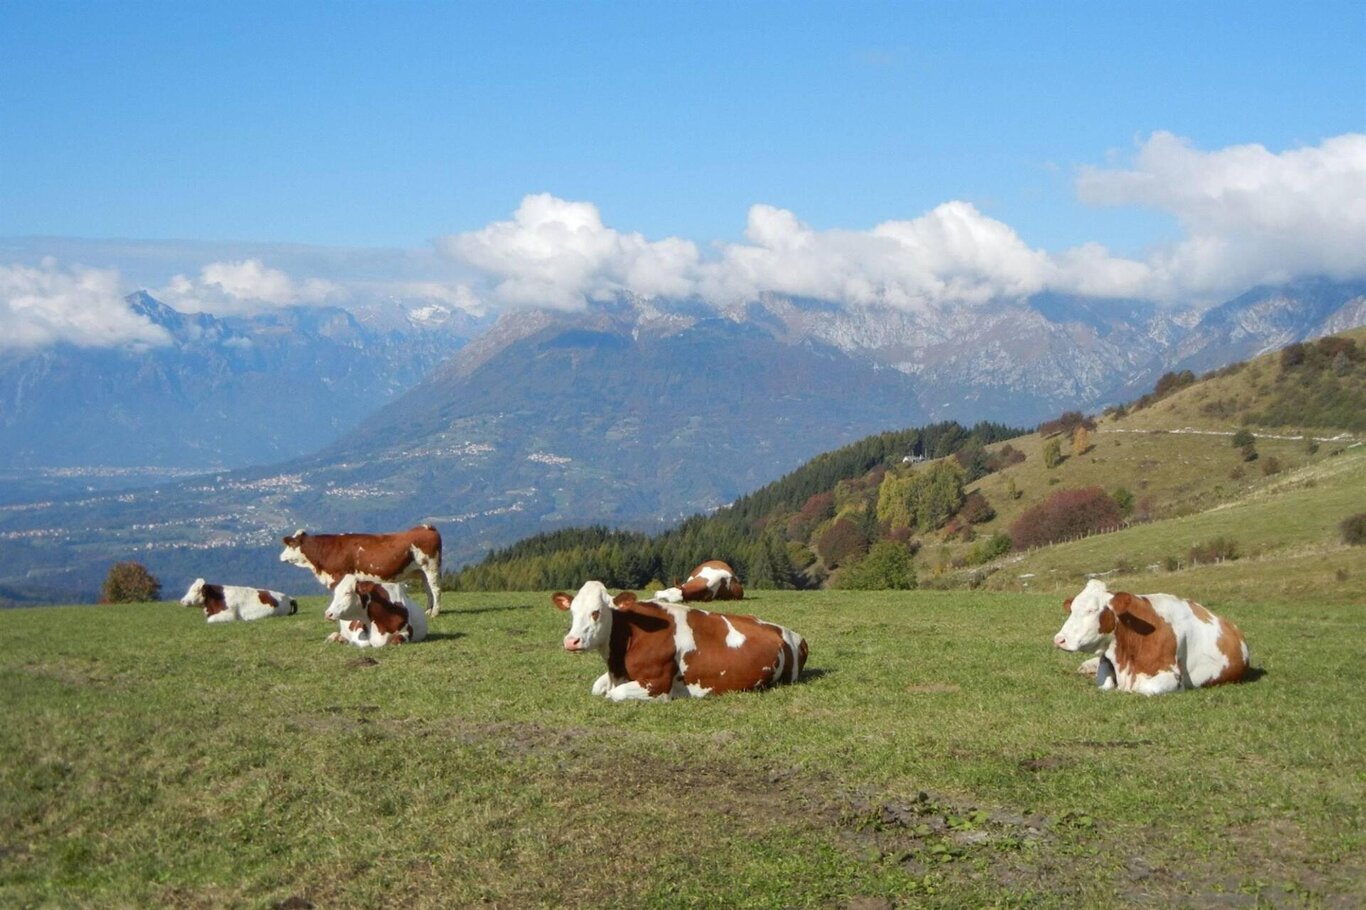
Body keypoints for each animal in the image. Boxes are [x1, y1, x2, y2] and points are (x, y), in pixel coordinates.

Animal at [280, 524, 445, 617]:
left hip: (431, 567)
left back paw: (435, 612)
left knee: (436, 589)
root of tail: (426, 527)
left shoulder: (340, 576)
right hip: (422, 572)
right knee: (428, 590)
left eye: (290, 545)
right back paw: (428, 610)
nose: (280, 556)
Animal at [1049, 573, 1251, 694]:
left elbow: (1143, 687)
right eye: (1072, 609)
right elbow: (1104, 682)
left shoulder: (1170, 674)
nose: (1059, 639)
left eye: (1092, 610)